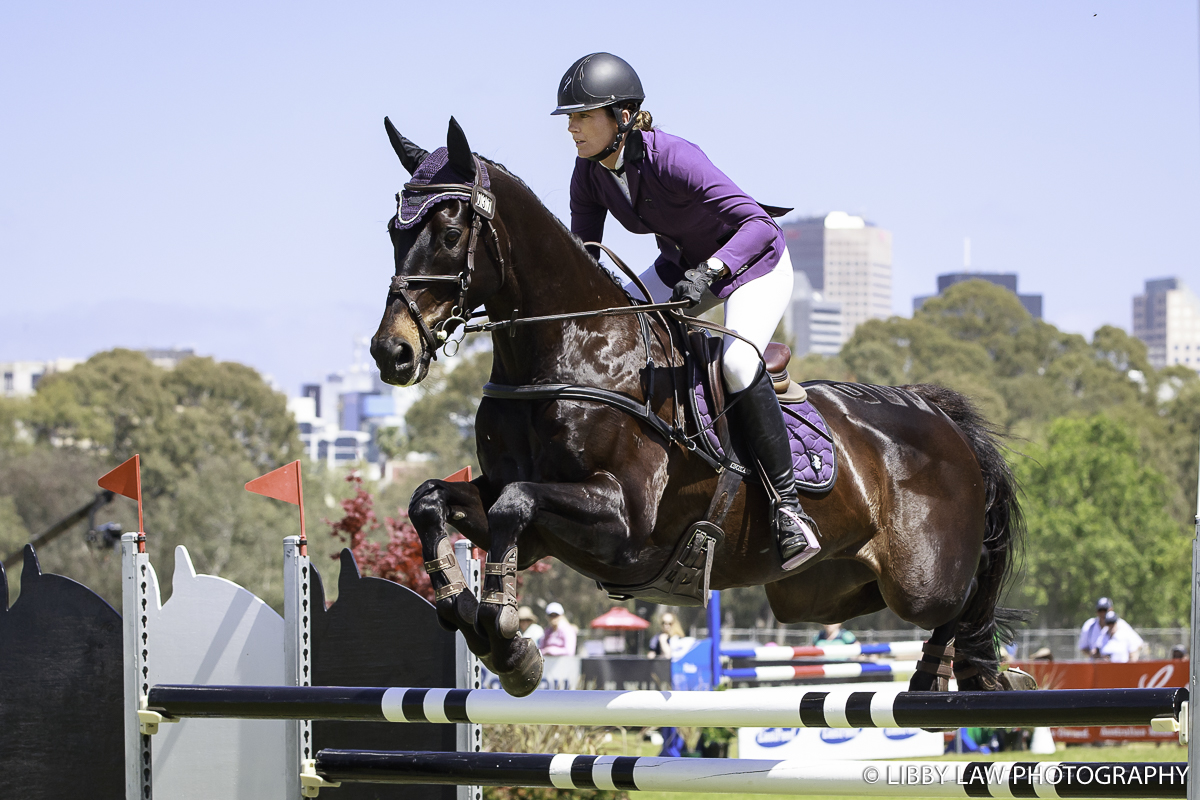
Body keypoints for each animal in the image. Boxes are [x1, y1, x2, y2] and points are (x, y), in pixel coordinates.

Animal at [367, 117, 1022, 695]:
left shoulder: (623, 522)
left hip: (921, 583)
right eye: (394, 233)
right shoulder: (531, 526)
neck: (568, 349)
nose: (391, 352)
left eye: (450, 234)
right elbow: (433, 501)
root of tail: (939, 418)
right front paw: (465, 608)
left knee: (968, 602)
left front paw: (506, 637)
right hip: (821, 590)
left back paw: (953, 671)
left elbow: (515, 504)